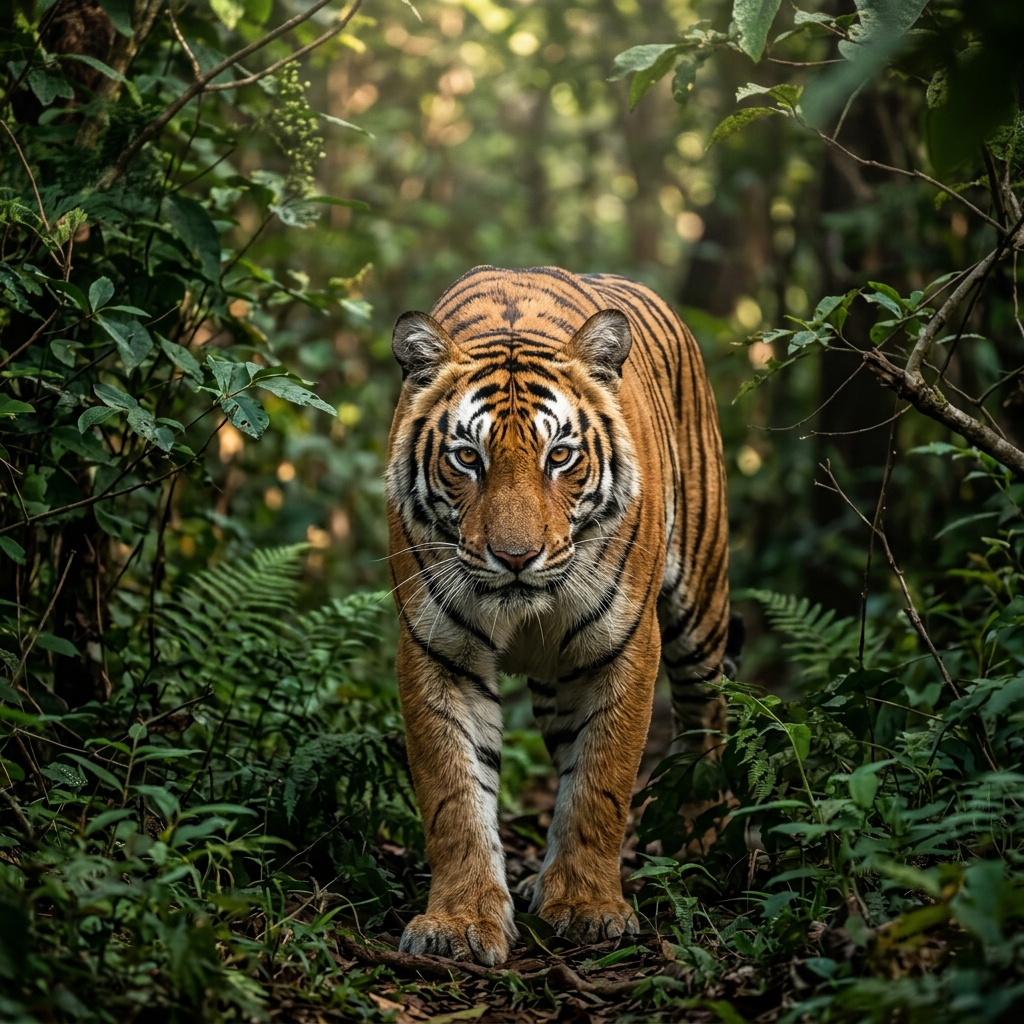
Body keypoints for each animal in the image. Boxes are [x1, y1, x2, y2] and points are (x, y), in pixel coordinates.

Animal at [385, 265, 730, 965]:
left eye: (560, 456)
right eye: (468, 458)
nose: (516, 557)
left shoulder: (624, 645)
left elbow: (600, 782)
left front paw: (587, 908)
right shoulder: (437, 650)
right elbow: (454, 792)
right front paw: (460, 921)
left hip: (700, 613)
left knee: (707, 720)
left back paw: (700, 844)